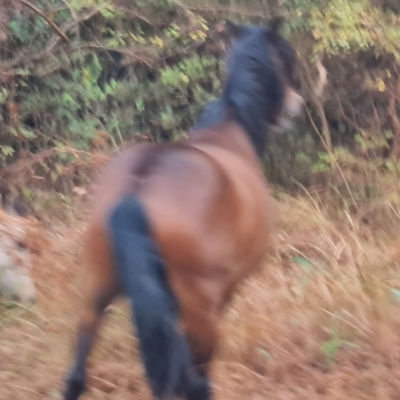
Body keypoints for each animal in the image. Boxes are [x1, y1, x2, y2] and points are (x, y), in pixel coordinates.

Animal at [65, 18, 304, 400]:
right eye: (286, 56)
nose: (295, 105)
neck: (230, 128)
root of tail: (140, 185)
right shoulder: (223, 296)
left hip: (96, 290)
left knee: (76, 373)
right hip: (197, 312)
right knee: (194, 382)